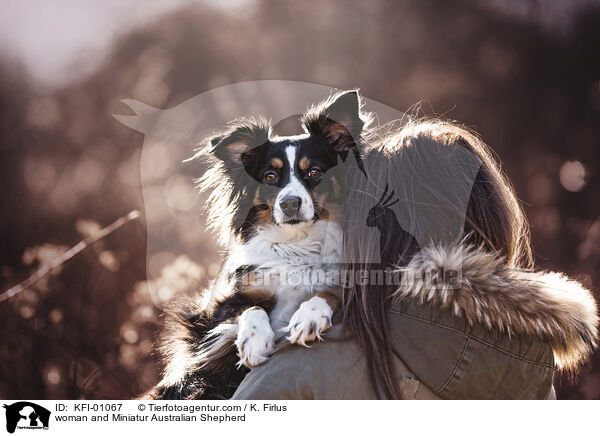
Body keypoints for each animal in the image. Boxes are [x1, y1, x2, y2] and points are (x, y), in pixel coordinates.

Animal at [149, 91, 370, 398]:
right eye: (270, 177)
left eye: (315, 172)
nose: (289, 204)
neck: (297, 244)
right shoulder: (213, 318)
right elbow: (249, 309)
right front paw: (255, 341)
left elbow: (330, 293)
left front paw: (310, 316)